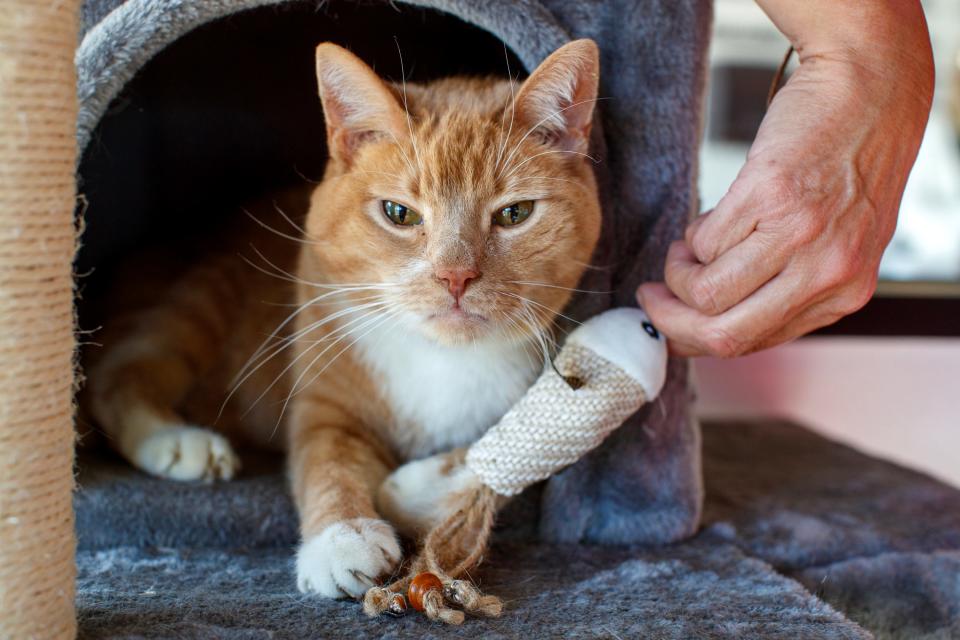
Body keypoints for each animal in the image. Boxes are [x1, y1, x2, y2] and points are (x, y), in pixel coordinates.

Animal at [88, 40, 600, 600]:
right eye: (399, 213)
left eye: (514, 214)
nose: (455, 276)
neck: (441, 358)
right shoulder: (324, 402)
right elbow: (329, 463)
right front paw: (343, 537)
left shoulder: (551, 403)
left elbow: (513, 452)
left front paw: (417, 488)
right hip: (200, 305)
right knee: (116, 376)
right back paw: (178, 442)